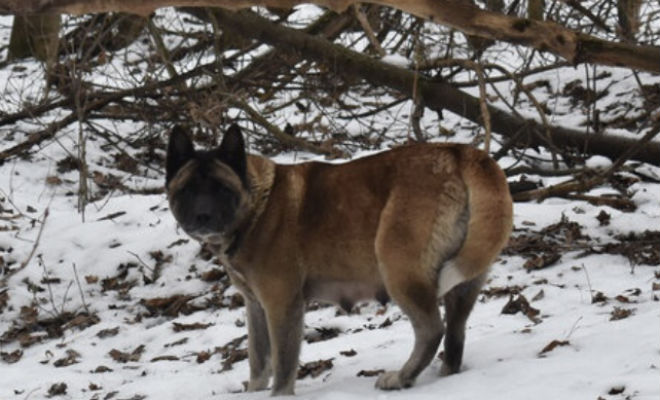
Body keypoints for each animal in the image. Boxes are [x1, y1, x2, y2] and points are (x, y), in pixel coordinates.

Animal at [164, 124, 510, 394]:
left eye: (221, 188)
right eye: (188, 189)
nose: (203, 216)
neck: (257, 206)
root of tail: (460, 153)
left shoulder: (282, 304)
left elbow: (283, 365)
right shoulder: (256, 306)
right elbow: (259, 362)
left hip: (398, 268)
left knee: (431, 330)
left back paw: (400, 378)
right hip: (464, 282)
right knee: (455, 333)